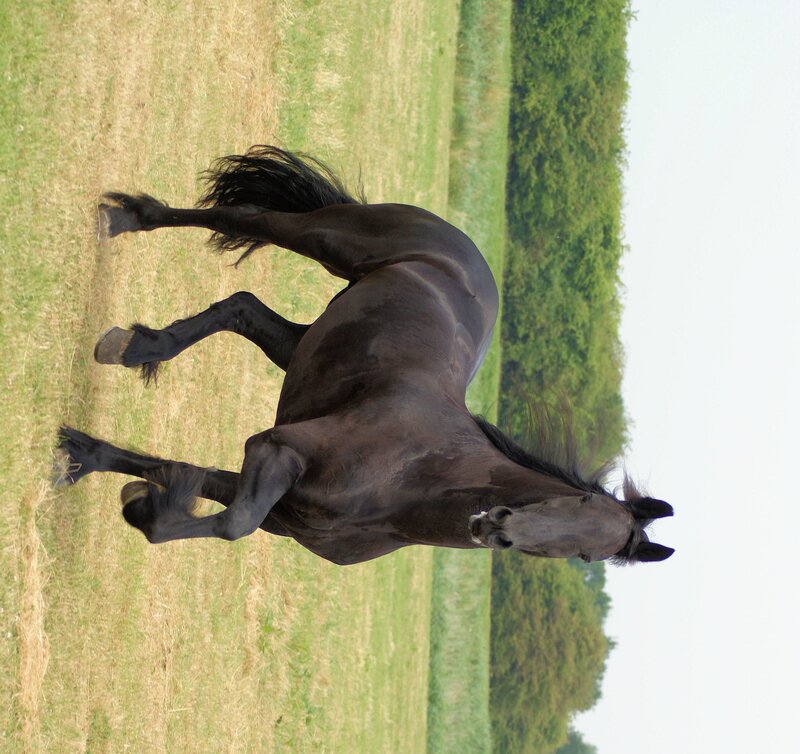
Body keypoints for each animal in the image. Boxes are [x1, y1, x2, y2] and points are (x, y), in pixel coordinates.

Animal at [54, 146, 674, 565]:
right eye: (581, 504)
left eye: (589, 555)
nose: (496, 530)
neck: (408, 484)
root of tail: (461, 244)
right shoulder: (276, 450)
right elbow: (232, 525)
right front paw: (141, 502)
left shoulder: (275, 498)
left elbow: (189, 484)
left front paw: (85, 457)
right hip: (325, 240)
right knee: (241, 221)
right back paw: (127, 219)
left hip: (303, 345)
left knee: (241, 307)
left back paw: (136, 345)